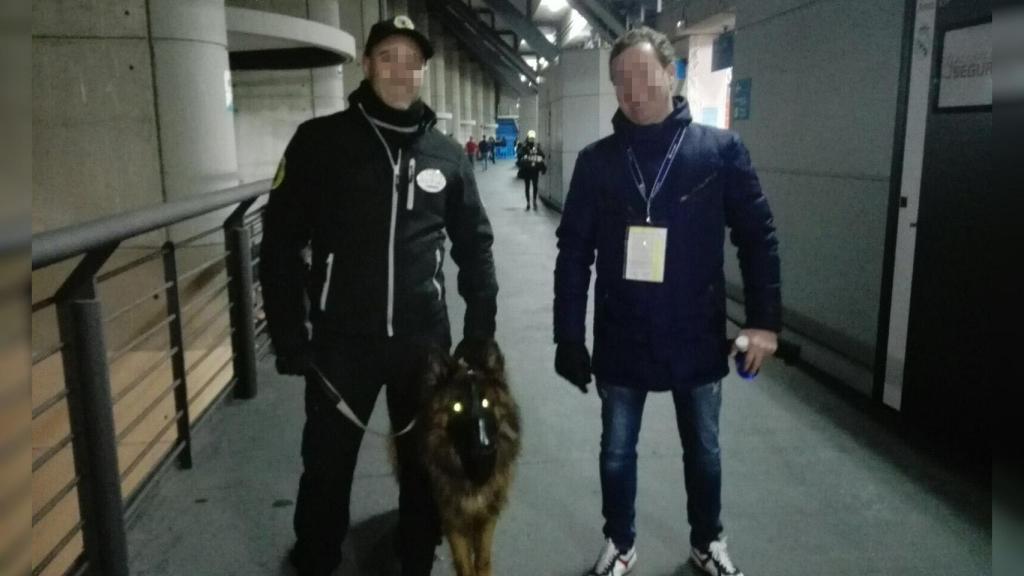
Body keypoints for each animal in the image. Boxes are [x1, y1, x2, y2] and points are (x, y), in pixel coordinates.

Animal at [419, 340, 524, 573]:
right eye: (457, 407)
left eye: (486, 403)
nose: (486, 447)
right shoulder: (453, 516)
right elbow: (464, 562)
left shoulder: (488, 513)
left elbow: (483, 558)